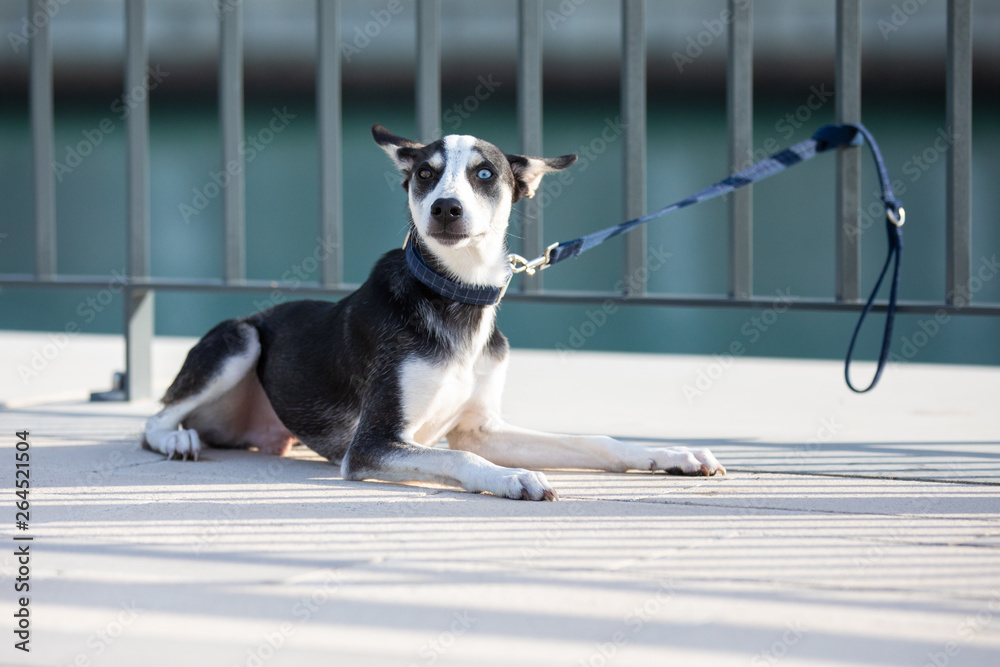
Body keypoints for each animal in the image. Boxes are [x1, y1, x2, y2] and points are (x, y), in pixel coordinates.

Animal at [141, 125, 724, 500]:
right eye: (424, 173)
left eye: (485, 173)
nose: (446, 207)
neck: (457, 296)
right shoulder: (373, 445)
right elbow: (460, 459)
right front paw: (512, 478)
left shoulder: (481, 428)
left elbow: (591, 441)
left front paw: (668, 455)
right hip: (241, 340)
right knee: (156, 418)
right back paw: (178, 439)